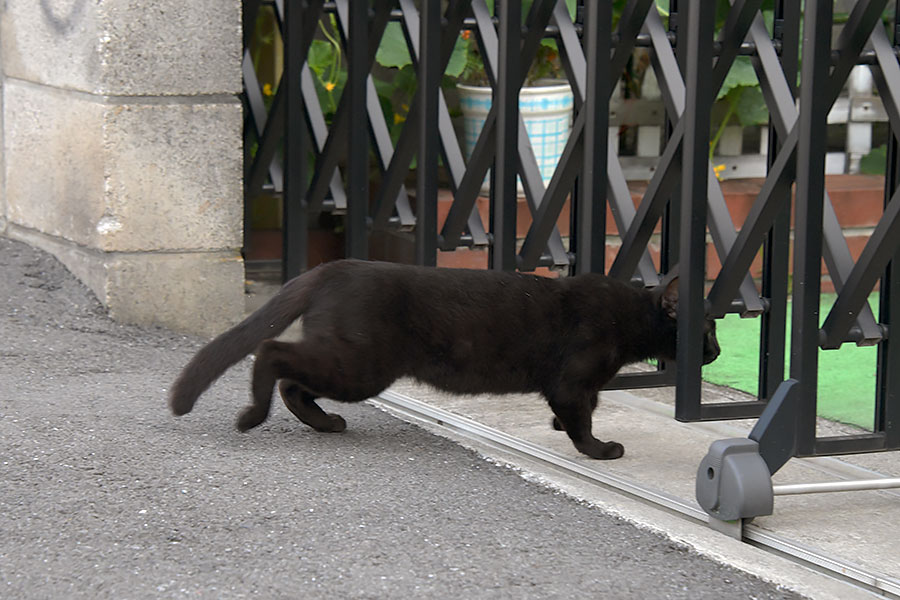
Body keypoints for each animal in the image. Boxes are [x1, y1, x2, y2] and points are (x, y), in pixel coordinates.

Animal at [167, 260, 716, 462]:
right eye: (708, 329)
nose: (715, 352)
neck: (628, 316)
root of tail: (332, 266)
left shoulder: (578, 386)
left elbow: (582, 410)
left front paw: (561, 429)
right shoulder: (572, 380)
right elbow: (582, 417)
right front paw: (600, 450)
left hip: (353, 363)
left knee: (293, 381)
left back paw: (325, 424)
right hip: (361, 365)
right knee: (272, 354)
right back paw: (251, 416)